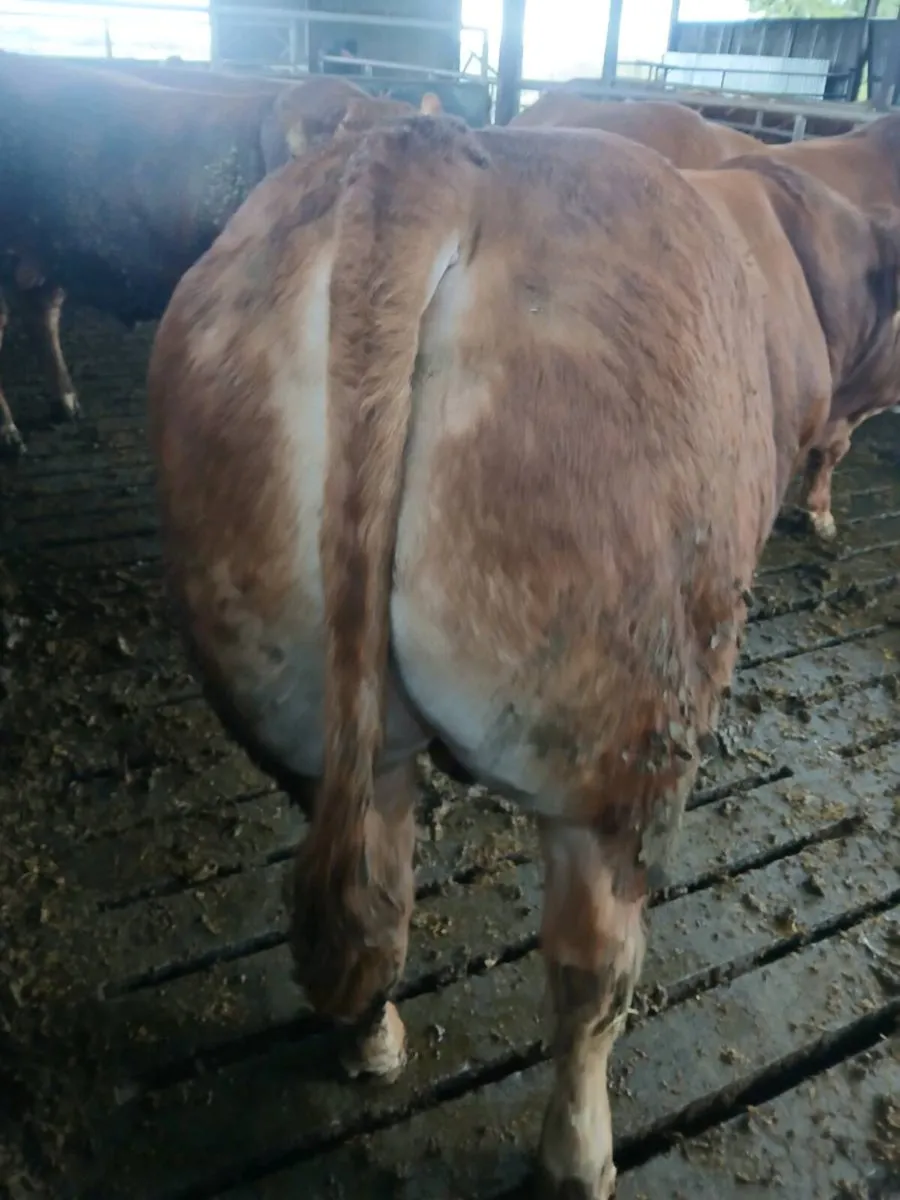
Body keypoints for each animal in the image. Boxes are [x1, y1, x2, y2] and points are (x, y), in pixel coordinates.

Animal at [146, 117, 900, 1198]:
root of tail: (426, 153)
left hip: (285, 674)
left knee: (372, 889)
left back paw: (372, 1041)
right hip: (621, 739)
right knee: (590, 970)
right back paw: (579, 1157)